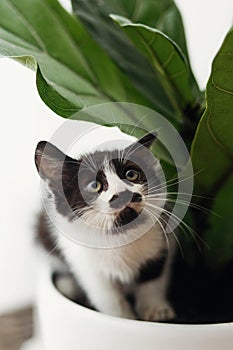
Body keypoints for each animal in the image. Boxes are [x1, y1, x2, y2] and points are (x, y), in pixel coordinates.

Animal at [34, 130, 176, 322]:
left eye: (131, 174)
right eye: (94, 185)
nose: (124, 194)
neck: (120, 235)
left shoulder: (160, 240)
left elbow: (153, 278)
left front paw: (155, 310)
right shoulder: (86, 263)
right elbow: (109, 298)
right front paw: (124, 318)